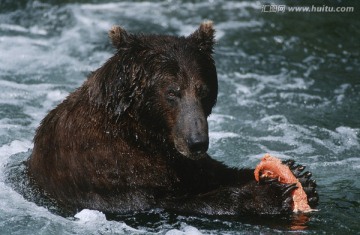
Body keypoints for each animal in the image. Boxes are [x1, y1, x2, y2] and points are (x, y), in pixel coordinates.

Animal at [27, 21, 318, 216]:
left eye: (203, 90)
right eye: (172, 92)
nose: (197, 142)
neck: (143, 132)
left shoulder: (181, 160)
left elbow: (214, 172)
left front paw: (300, 176)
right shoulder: (108, 169)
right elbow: (169, 200)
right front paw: (268, 195)